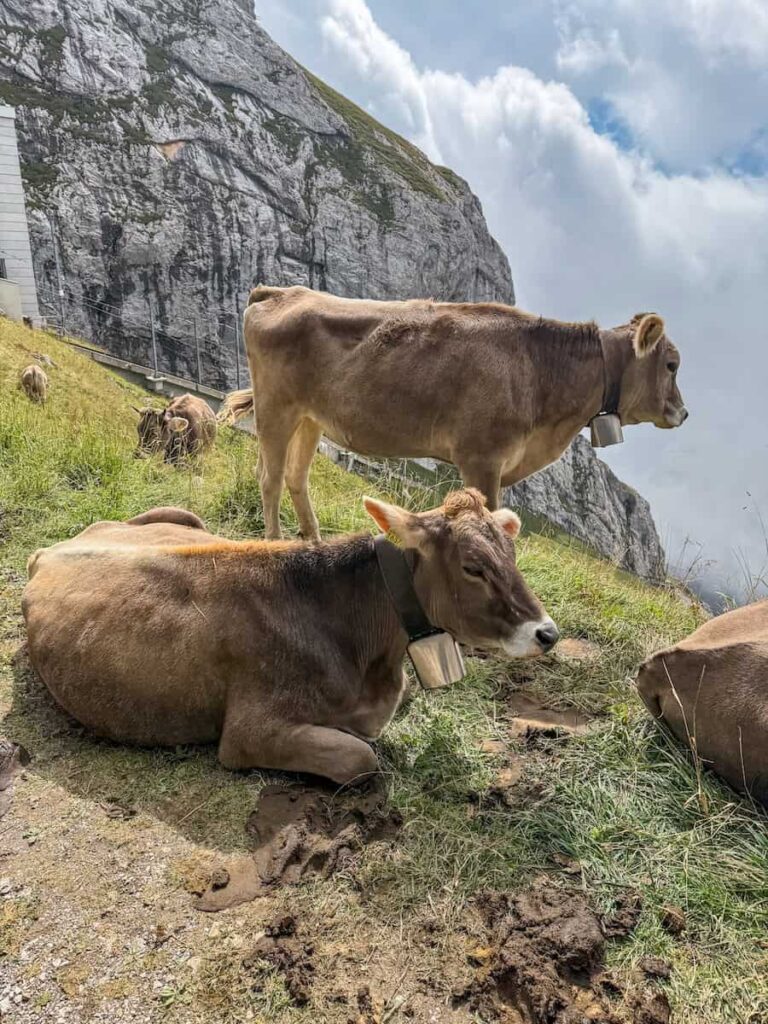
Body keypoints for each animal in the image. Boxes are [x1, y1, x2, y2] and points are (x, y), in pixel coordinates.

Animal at [22, 489, 557, 785]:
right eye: (473, 567)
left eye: (512, 552)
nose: (547, 632)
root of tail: (50, 550)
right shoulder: (249, 733)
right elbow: (361, 757)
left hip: (180, 514)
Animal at [219, 286, 688, 542]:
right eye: (672, 364)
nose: (682, 413)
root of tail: (282, 291)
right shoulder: (483, 458)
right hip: (276, 406)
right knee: (270, 476)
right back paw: (274, 542)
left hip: (309, 417)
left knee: (296, 476)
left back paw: (313, 543)